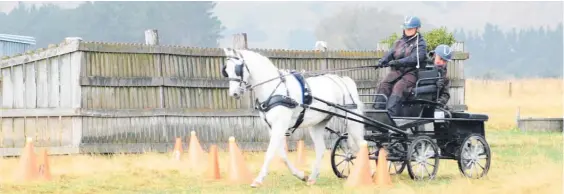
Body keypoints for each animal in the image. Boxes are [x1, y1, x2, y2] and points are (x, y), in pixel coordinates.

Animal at [220, 47, 366, 187]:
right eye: (226, 70)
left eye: (238, 69)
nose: (233, 93)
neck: (274, 89)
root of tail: (343, 80)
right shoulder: (272, 128)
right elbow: (281, 154)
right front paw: (301, 175)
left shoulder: (280, 125)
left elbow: (270, 152)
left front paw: (258, 180)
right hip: (317, 124)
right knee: (321, 148)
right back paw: (312, 178)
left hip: (351, 120)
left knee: (361, 144)